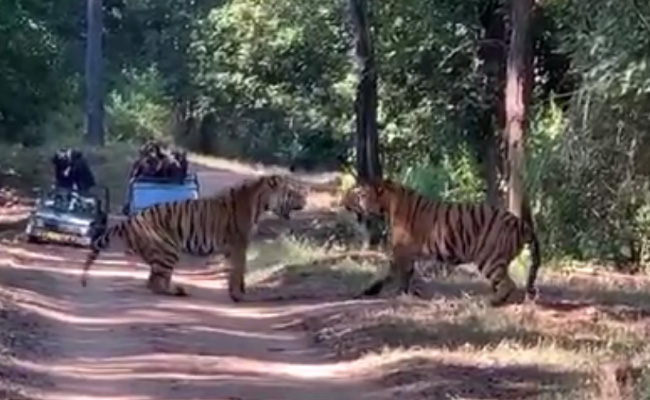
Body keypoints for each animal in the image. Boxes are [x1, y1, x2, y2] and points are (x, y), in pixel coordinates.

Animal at [80, 174, 308, 302]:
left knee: (156, 280)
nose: (306, 198)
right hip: (168, 249)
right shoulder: (239, 244)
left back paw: (178, 289)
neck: (261, 203)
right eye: (293, 192)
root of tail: (131, 219)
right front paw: (239, 296)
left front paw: (238, 292)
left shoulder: (232, 248)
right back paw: (178, 291)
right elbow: (238, 270)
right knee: (154, 282)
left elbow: (236, 271)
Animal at [340, 178, 541, 307]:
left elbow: (397, 275)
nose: (342, 203)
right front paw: (368, 292)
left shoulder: (401, 252)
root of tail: (520, 223)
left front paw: (400, 294)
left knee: (509, 285)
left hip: (489, 259)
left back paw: (489, 302)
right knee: (506, 285)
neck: (388, 204)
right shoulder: (404, 255)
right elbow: (388, 275)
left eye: (357, 194)